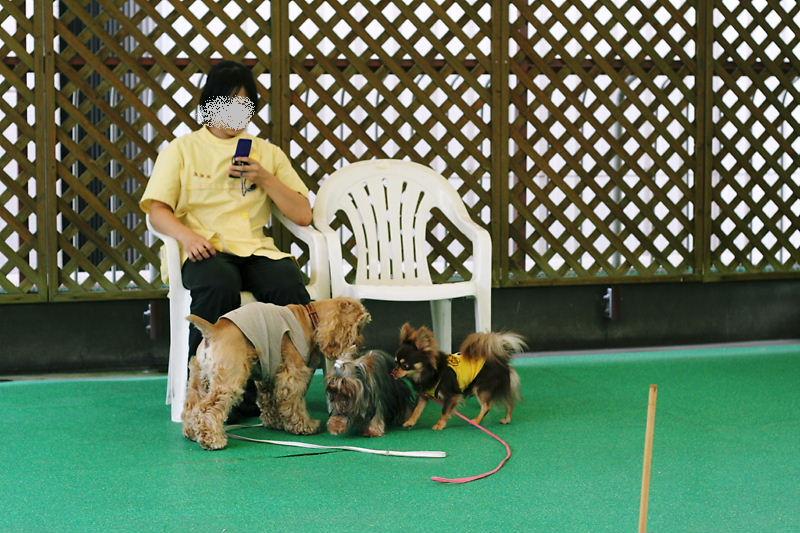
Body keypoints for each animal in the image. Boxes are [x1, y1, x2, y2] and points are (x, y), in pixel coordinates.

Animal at [182, 297, 371, 450]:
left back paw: (192, 432)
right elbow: (295, 403)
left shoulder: (268, 377)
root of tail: (213, 330)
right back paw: (213, 439)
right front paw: (306, 426)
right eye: (359, 327)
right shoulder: (293, 376)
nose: (362, 345)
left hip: (199, 381)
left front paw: (274, 422)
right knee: (207, 409)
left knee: (191, 408)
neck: (309, 318)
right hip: (228, 381)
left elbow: (269, 401)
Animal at [391, 323, 525, 431]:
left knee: (487, 406)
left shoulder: (452, 396)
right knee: (509, 402)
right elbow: (417, 410)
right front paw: (410, 421)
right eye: (395, 363)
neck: (431, 372)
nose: (393, 372)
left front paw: (440, 424)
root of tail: (500, 359)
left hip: (481, 389)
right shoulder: (424, 396)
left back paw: (477, 421)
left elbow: (445, 410)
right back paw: (507, 419)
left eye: (405, 365)